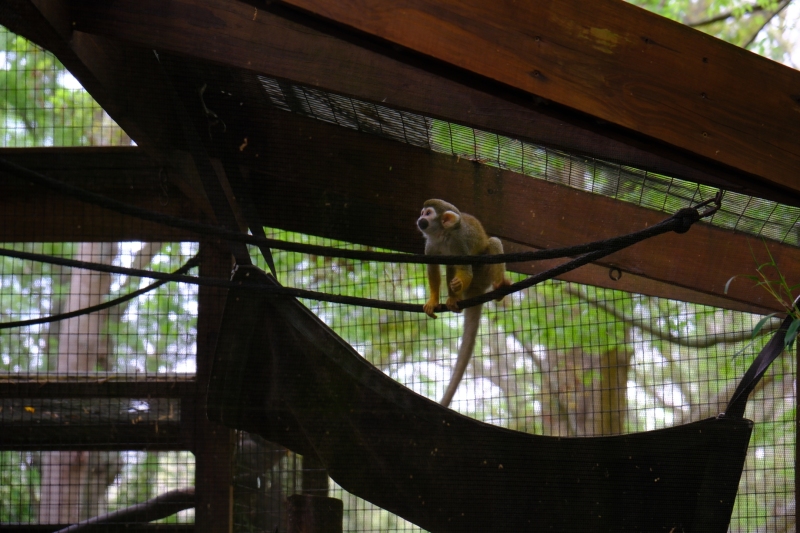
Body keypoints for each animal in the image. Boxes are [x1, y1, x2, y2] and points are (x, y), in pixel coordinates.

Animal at [417, 199, 511, 407]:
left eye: (427, 213)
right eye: (422, 213)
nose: (420, 219)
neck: (442, 236)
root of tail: (478, 291)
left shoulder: (459, 243)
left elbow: (465, 270)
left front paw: (458, 284)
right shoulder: (430, 245)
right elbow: (433, 269)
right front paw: (433, 300)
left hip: (483, 274)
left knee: (493, 243)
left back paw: (498, 289)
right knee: (450, 265)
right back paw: (454, 299)